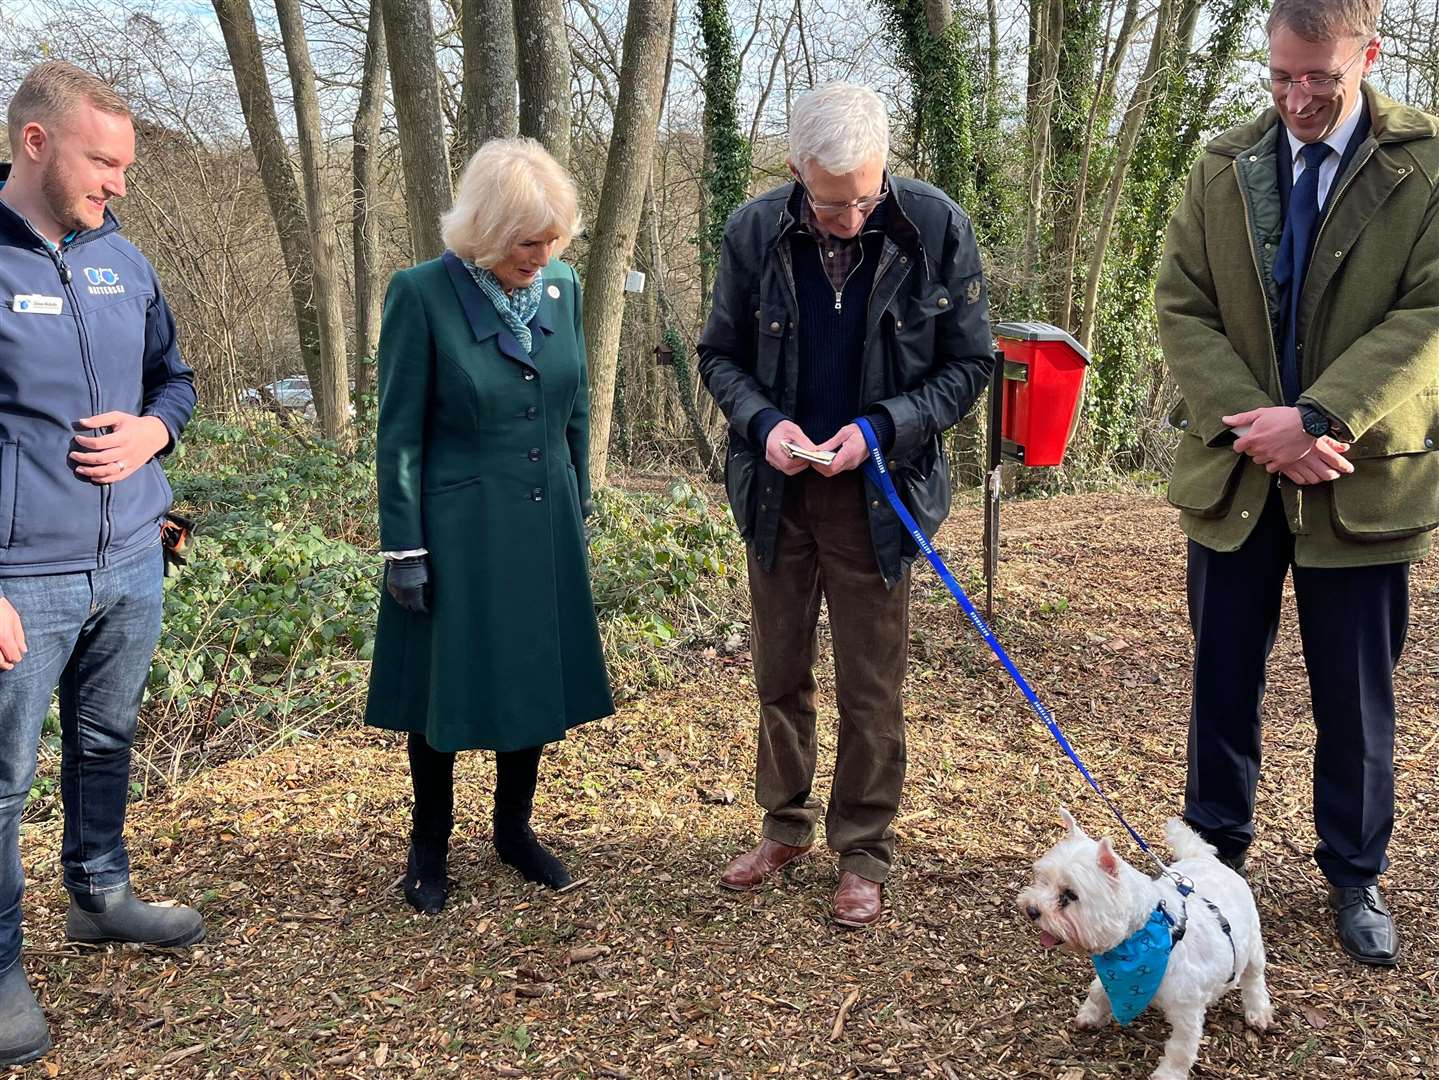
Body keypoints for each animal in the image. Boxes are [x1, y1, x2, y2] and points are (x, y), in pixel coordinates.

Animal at [1013, 811, 1272, 1080]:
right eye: (1043, 880)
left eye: (1070, 895)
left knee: (1254, 979)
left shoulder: (1187, 1012)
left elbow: (1181, 1048)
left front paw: (1168, 1074)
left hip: (1253, 948)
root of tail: (1204, 858)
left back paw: (1258, 1012)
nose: (1032, 909)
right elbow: (1097, 990)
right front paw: (1091, 1015)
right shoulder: (1112, 974)